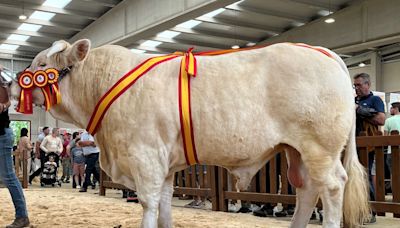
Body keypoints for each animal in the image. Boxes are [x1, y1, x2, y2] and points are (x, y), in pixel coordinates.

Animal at [10, 40, 368, 227]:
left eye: (40, 65)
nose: (13, 83)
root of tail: (322, 50)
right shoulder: (166, 165)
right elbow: (166, 204)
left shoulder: (145, 157)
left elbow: (149, 203)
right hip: (297, 151)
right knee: (306, 190)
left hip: (319, 147)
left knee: (332, 188)